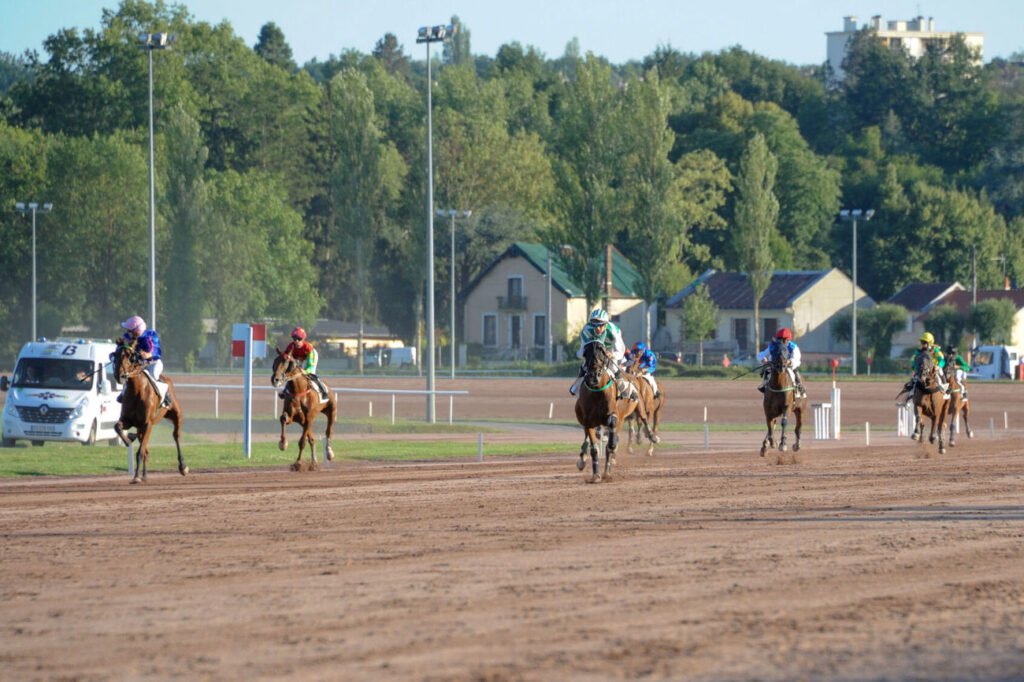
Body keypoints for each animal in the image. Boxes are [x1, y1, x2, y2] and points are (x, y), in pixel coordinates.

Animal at [111, 342, 187, 481]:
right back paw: (145, 475)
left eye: (130, 357)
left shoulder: (147, 423)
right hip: (140, 427)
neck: (137, 391)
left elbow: (140, 451)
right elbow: (117, 426)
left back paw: (182, 466)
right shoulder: (129, 421)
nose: (119, 376)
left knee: (176, 435)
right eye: (115, 355)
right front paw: (128, 440)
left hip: (176, 414)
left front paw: (136, 476)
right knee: (145, 446)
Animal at [577, 342, 622, 481]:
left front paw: (612, 445)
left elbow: (612, 425)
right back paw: (582, 460)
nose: (593, 376)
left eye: (602, 352)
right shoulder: (588, 421)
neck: (597, 392)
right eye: (586, 354)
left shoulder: (613, 413)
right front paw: (596, 475)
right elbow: (594, 448)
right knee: (587, 439)